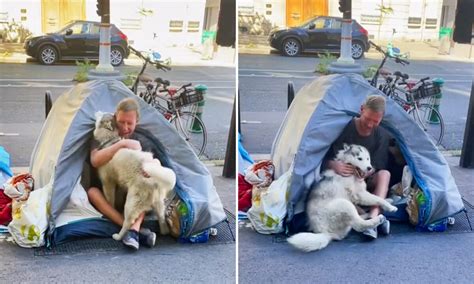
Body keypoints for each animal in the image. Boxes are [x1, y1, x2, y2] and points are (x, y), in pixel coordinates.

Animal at [92, 112, 176, 241]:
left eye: (101, 115)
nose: (96, 112)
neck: (110, 140)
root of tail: (154, 180)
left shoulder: (107, 182)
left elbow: (109, 200)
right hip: (159, 203)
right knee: (162, 219)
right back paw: (163, 231)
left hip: (131, 204)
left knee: (128, 222)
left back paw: (119, 236)